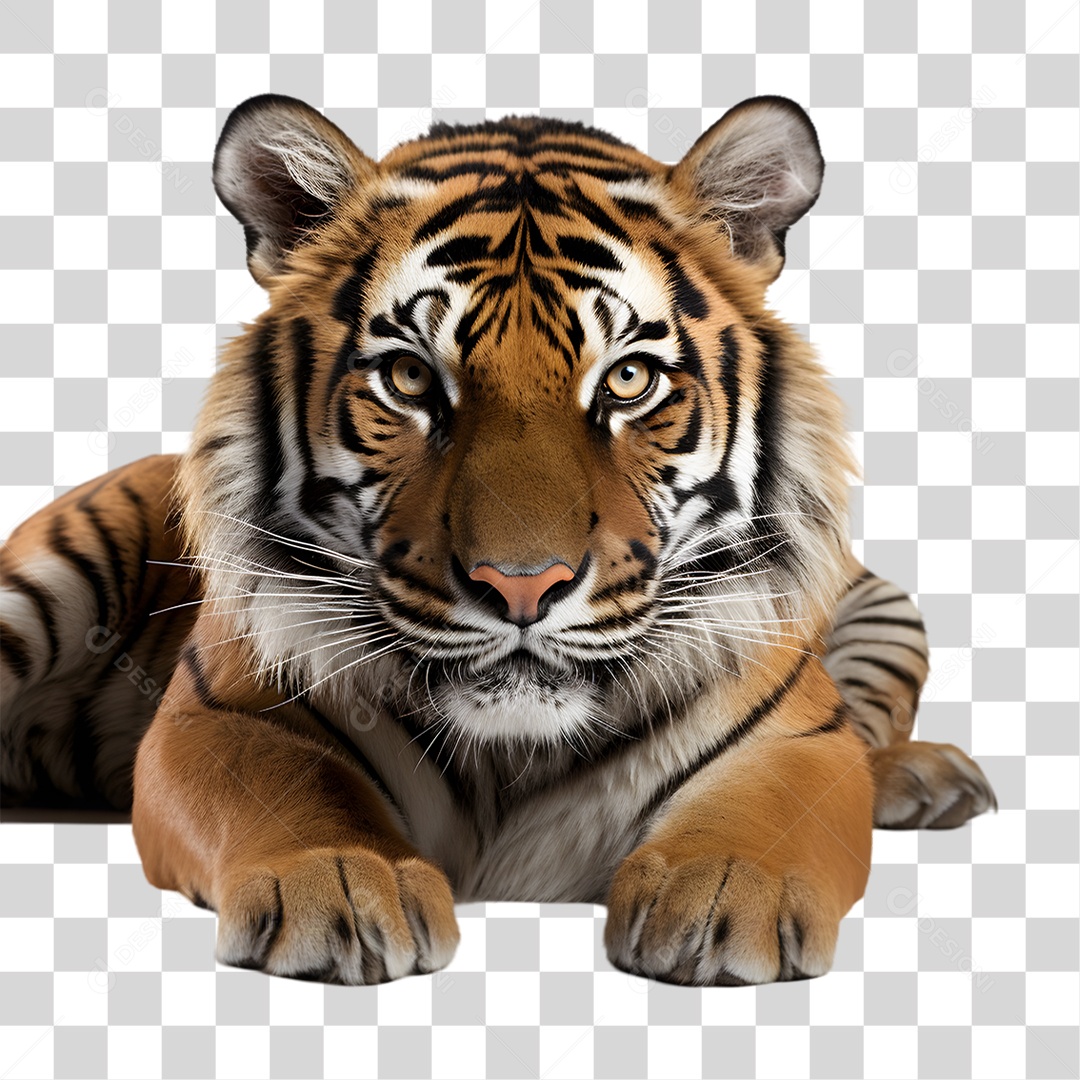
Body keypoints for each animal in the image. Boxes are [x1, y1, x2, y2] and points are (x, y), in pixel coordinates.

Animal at [0, 94, 998, 986]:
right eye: (409, 378)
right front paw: (339, 886)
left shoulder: (796, 736)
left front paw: (722, 897)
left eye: (628, 379)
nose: (522, 587)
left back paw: (922, 778)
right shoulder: (221, 714)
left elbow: (768, 809)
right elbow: (286, 790)